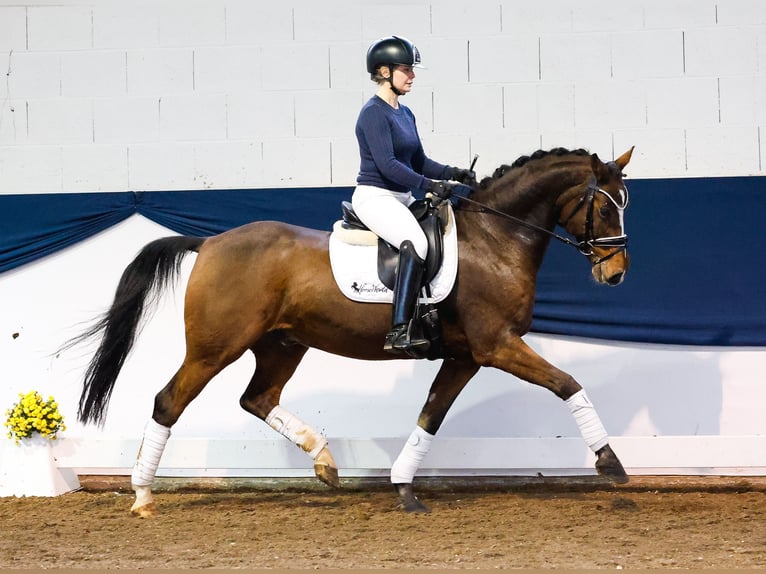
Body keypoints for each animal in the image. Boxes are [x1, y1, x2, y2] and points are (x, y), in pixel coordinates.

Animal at [70, 147, 636, 516]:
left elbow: (430, 416)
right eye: (605, 206)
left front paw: (404, 488)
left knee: (257, 398)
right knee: (169, 401)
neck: (495, 240)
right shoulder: (497, 346)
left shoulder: (465, 356)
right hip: (215, 348)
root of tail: (209, 243)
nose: (615, 275)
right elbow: (567, 384)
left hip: (282, 344)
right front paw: (611, 464)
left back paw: (324, 462)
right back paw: (143, 496)